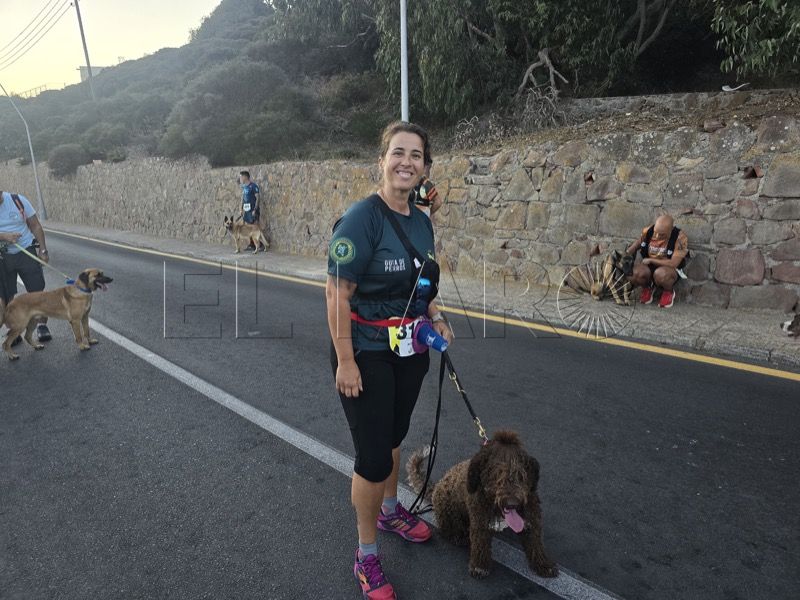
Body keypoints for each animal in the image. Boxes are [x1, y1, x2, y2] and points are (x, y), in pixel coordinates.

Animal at [407, 430, 558, 579]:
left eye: (521, 475)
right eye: (497, 475)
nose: (512, 503)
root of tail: (435, 487)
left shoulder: (531, 518)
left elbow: (535, 541)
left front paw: (544, 564)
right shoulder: (479, 521)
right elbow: (480, 543)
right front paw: (480, 566)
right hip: (448, 511)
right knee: (446, 529)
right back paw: (457, 536)